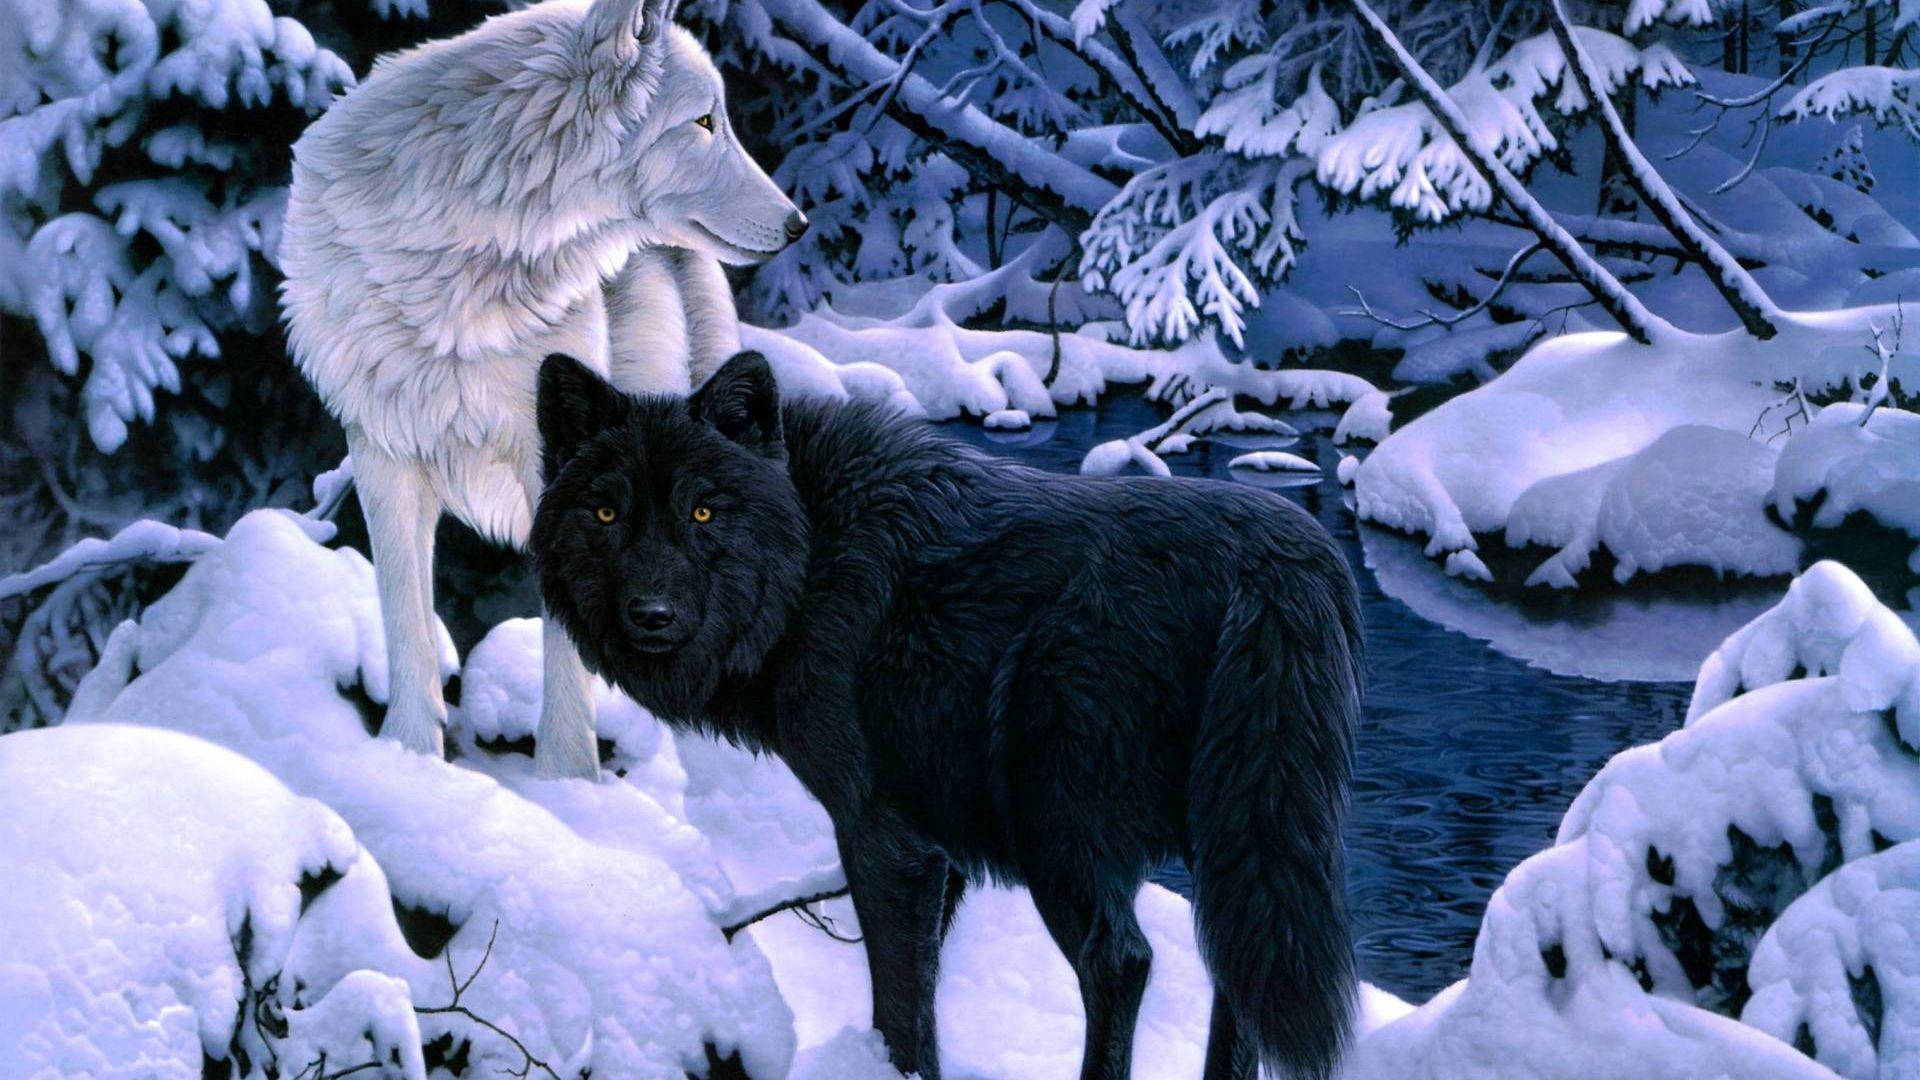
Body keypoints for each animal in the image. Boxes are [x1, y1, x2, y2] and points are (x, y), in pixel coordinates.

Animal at [279, 0, 802, 777]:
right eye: (705, 121)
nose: (799, 223)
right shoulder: (382, 454)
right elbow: (405, 621)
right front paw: (408, 761)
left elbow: (567, 649)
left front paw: (567, 783)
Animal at [530, 351, 1364, 1080]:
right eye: (606, 512)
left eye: (703, 512)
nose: (651, 615)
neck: (813, 556)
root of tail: (1274, 561)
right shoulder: (940, 846)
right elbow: (923, 985)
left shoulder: (880, 832)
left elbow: (900, 1004)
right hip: (1235, 842)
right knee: (1234, 973)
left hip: (1060, 833)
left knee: (1123, 962)